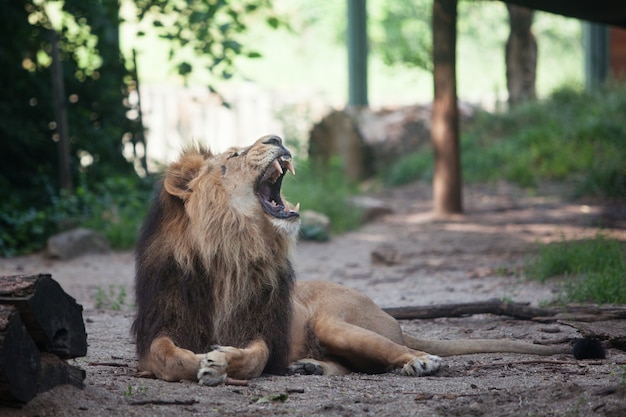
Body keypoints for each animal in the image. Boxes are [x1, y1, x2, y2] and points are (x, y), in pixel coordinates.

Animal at [133, 135, 584, 386]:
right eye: (233, 155)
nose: (276, 136)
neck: (230, 250)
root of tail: (390, 316)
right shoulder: (162, 322)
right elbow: (166, 356)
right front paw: (199, 361)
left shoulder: (262, 327)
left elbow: (254, 357)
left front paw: (219, 361)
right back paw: (309, 368)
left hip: (337, 324)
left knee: (393, 352)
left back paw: (420, 362)